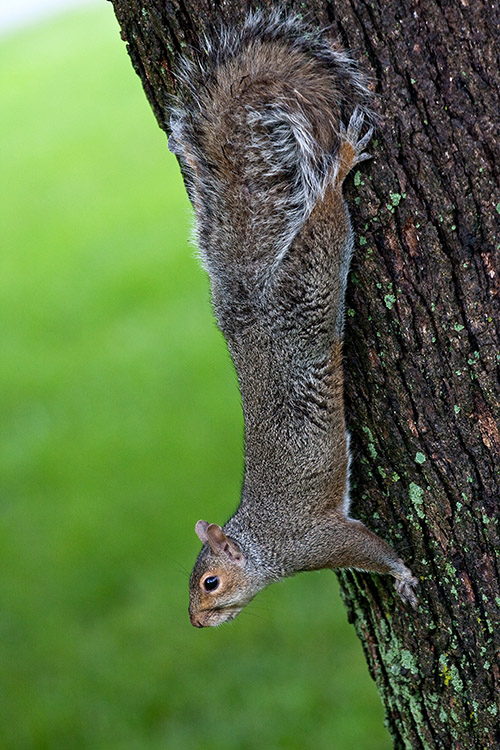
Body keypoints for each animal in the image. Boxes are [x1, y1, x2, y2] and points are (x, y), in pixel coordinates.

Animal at [168, 8, 418, 628]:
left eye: (209, 582)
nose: (196, 622)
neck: (262, 545)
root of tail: (252, 306)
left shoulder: (316, 539)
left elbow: (370, 549)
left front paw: (403, 576)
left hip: (313, 280)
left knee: (325, 212)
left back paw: (342, 163)